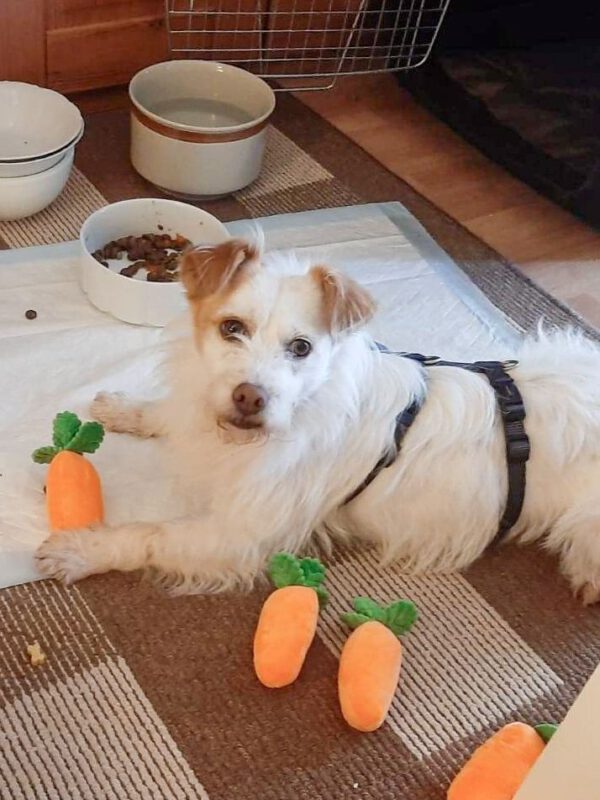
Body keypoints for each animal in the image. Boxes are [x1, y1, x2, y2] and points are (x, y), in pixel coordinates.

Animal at [36, 238, 600, 604]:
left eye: (301, 347)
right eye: (232, 328)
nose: (249, 398)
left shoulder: (241, 532)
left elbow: (150, 532)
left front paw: (82, 549)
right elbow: (167, 413)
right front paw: (123, 407)